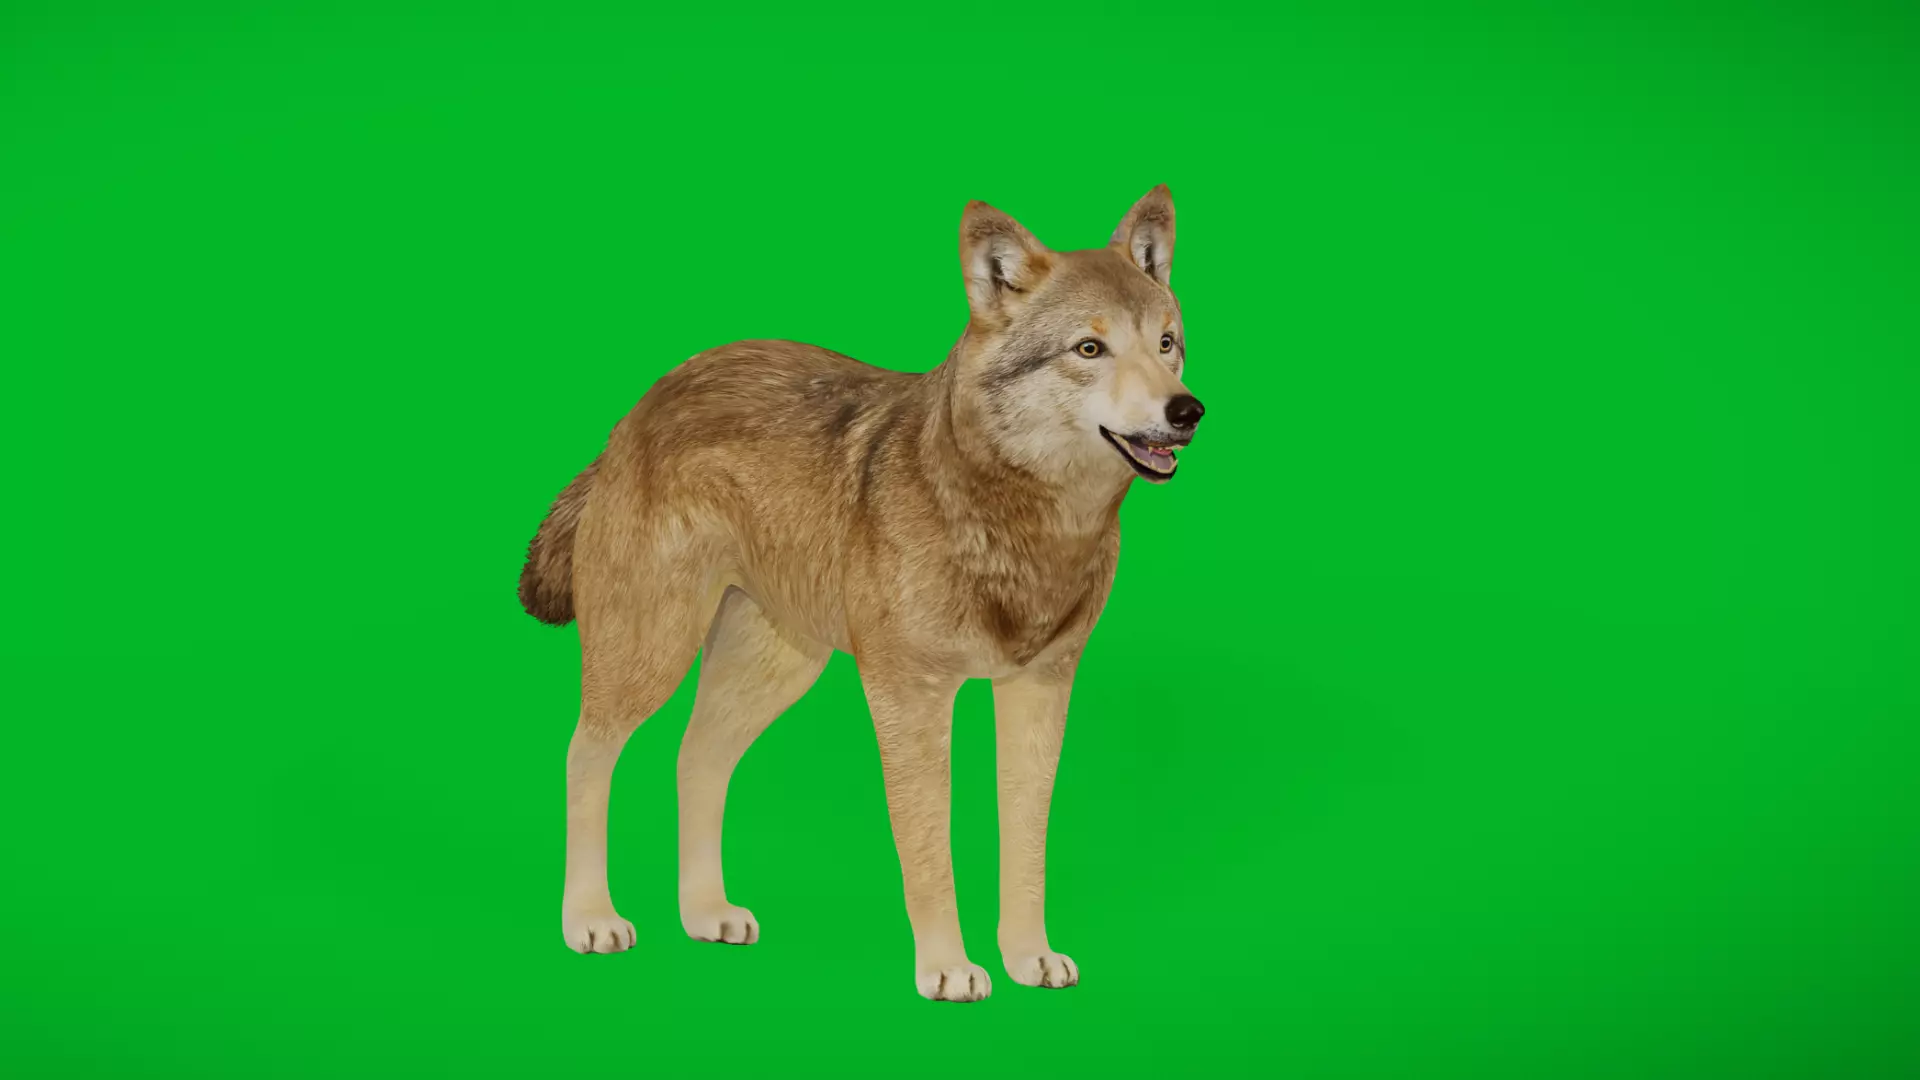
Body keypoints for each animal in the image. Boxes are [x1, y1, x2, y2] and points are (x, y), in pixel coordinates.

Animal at [517, 185, 1206, 1002]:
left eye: (1167, 344)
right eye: (1089, 350)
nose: (1187, 411)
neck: (1023, 524)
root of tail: (637, 410)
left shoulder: (1041, 690)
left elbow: (1025, 844)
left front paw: (1028, 957)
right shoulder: (910, 695)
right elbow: (929, 845)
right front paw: (948, 968)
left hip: (776, 670)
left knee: (696, 760)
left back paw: (706, 912)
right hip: (651, 655)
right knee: (585, 755)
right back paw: (591, 919)